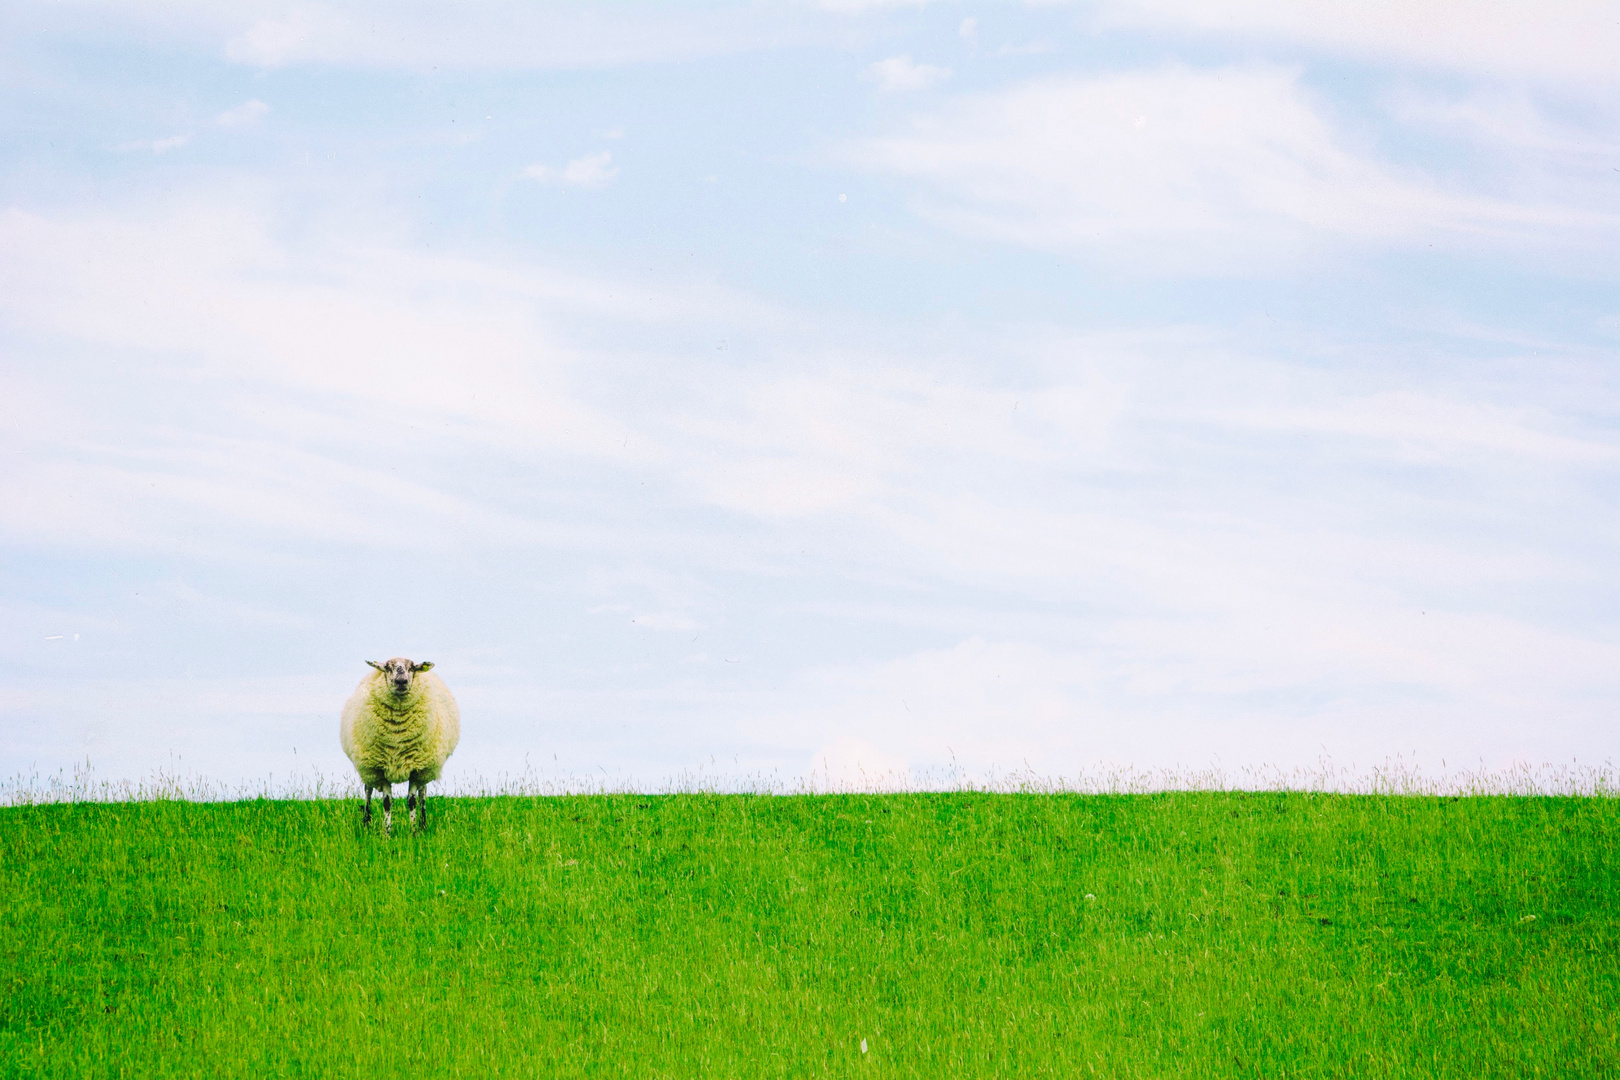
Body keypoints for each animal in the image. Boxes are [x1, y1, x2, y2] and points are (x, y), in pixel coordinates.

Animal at [338, 654, 460, 835]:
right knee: (368, 790)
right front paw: (387, 833)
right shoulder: (380, 769)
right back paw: (366, 822)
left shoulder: (416, 769)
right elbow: (387, 802)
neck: (397, 734)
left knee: (423, 792)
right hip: (368, 766)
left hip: (425, 765)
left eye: (412, 668)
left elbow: (412, 801)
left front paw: (414, 832)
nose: (401, 681)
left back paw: (423, 824)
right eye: (388, 668)